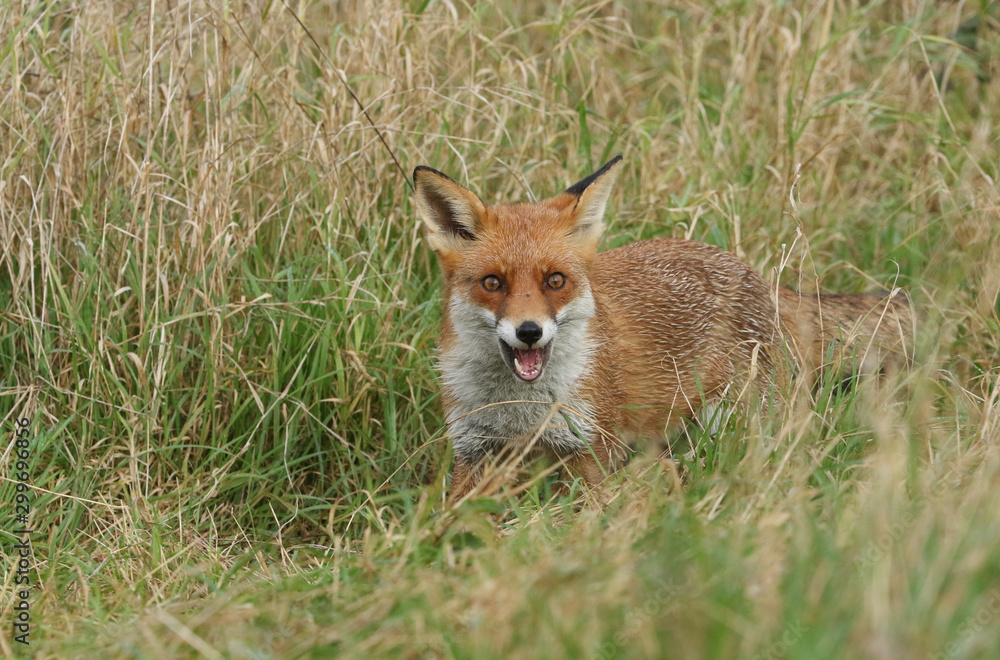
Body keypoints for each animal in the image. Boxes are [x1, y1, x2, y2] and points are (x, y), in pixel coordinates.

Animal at [412, 155, 913, 501]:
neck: (520, 412)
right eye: (492, 283)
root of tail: (756, 275)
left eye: (555, 280)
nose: (529, 331)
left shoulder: (591, 452)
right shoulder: (473, 451)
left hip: (732, 423)